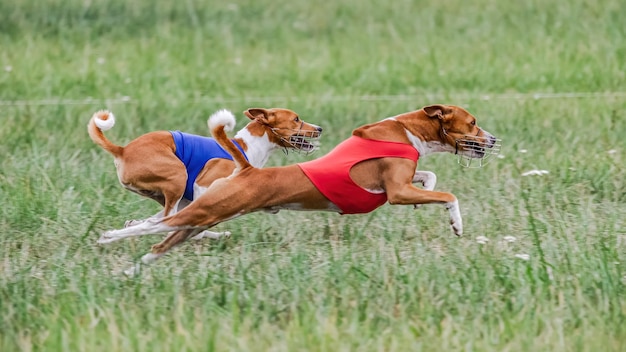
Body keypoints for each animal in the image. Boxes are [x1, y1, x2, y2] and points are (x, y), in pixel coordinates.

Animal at [89, 107, 322, 239]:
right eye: (296, 119)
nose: (319, 128)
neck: (246, 147)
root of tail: (122, 149)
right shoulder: (202, 185)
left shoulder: (190, 197)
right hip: (178, 177)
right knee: (169, 218)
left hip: (171, 191)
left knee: (163, 217)